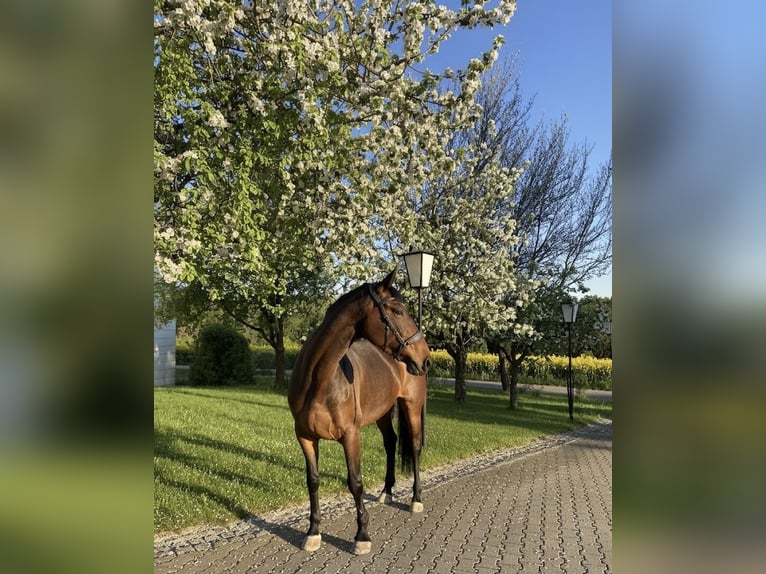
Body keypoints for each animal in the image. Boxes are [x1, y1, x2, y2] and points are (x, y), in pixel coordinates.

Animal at [287, 269, 432, 555]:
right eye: (397, 311)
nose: (426, 358)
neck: (319, 380)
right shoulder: (305, 437)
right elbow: (313, 480)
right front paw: (313, 532)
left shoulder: (350, 435)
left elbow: (355, 482)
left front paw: (362, 535)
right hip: (383, 412)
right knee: (391, 442)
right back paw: (387, 491)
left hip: (411, 407)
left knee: (415, 446)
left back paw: (416, 499)